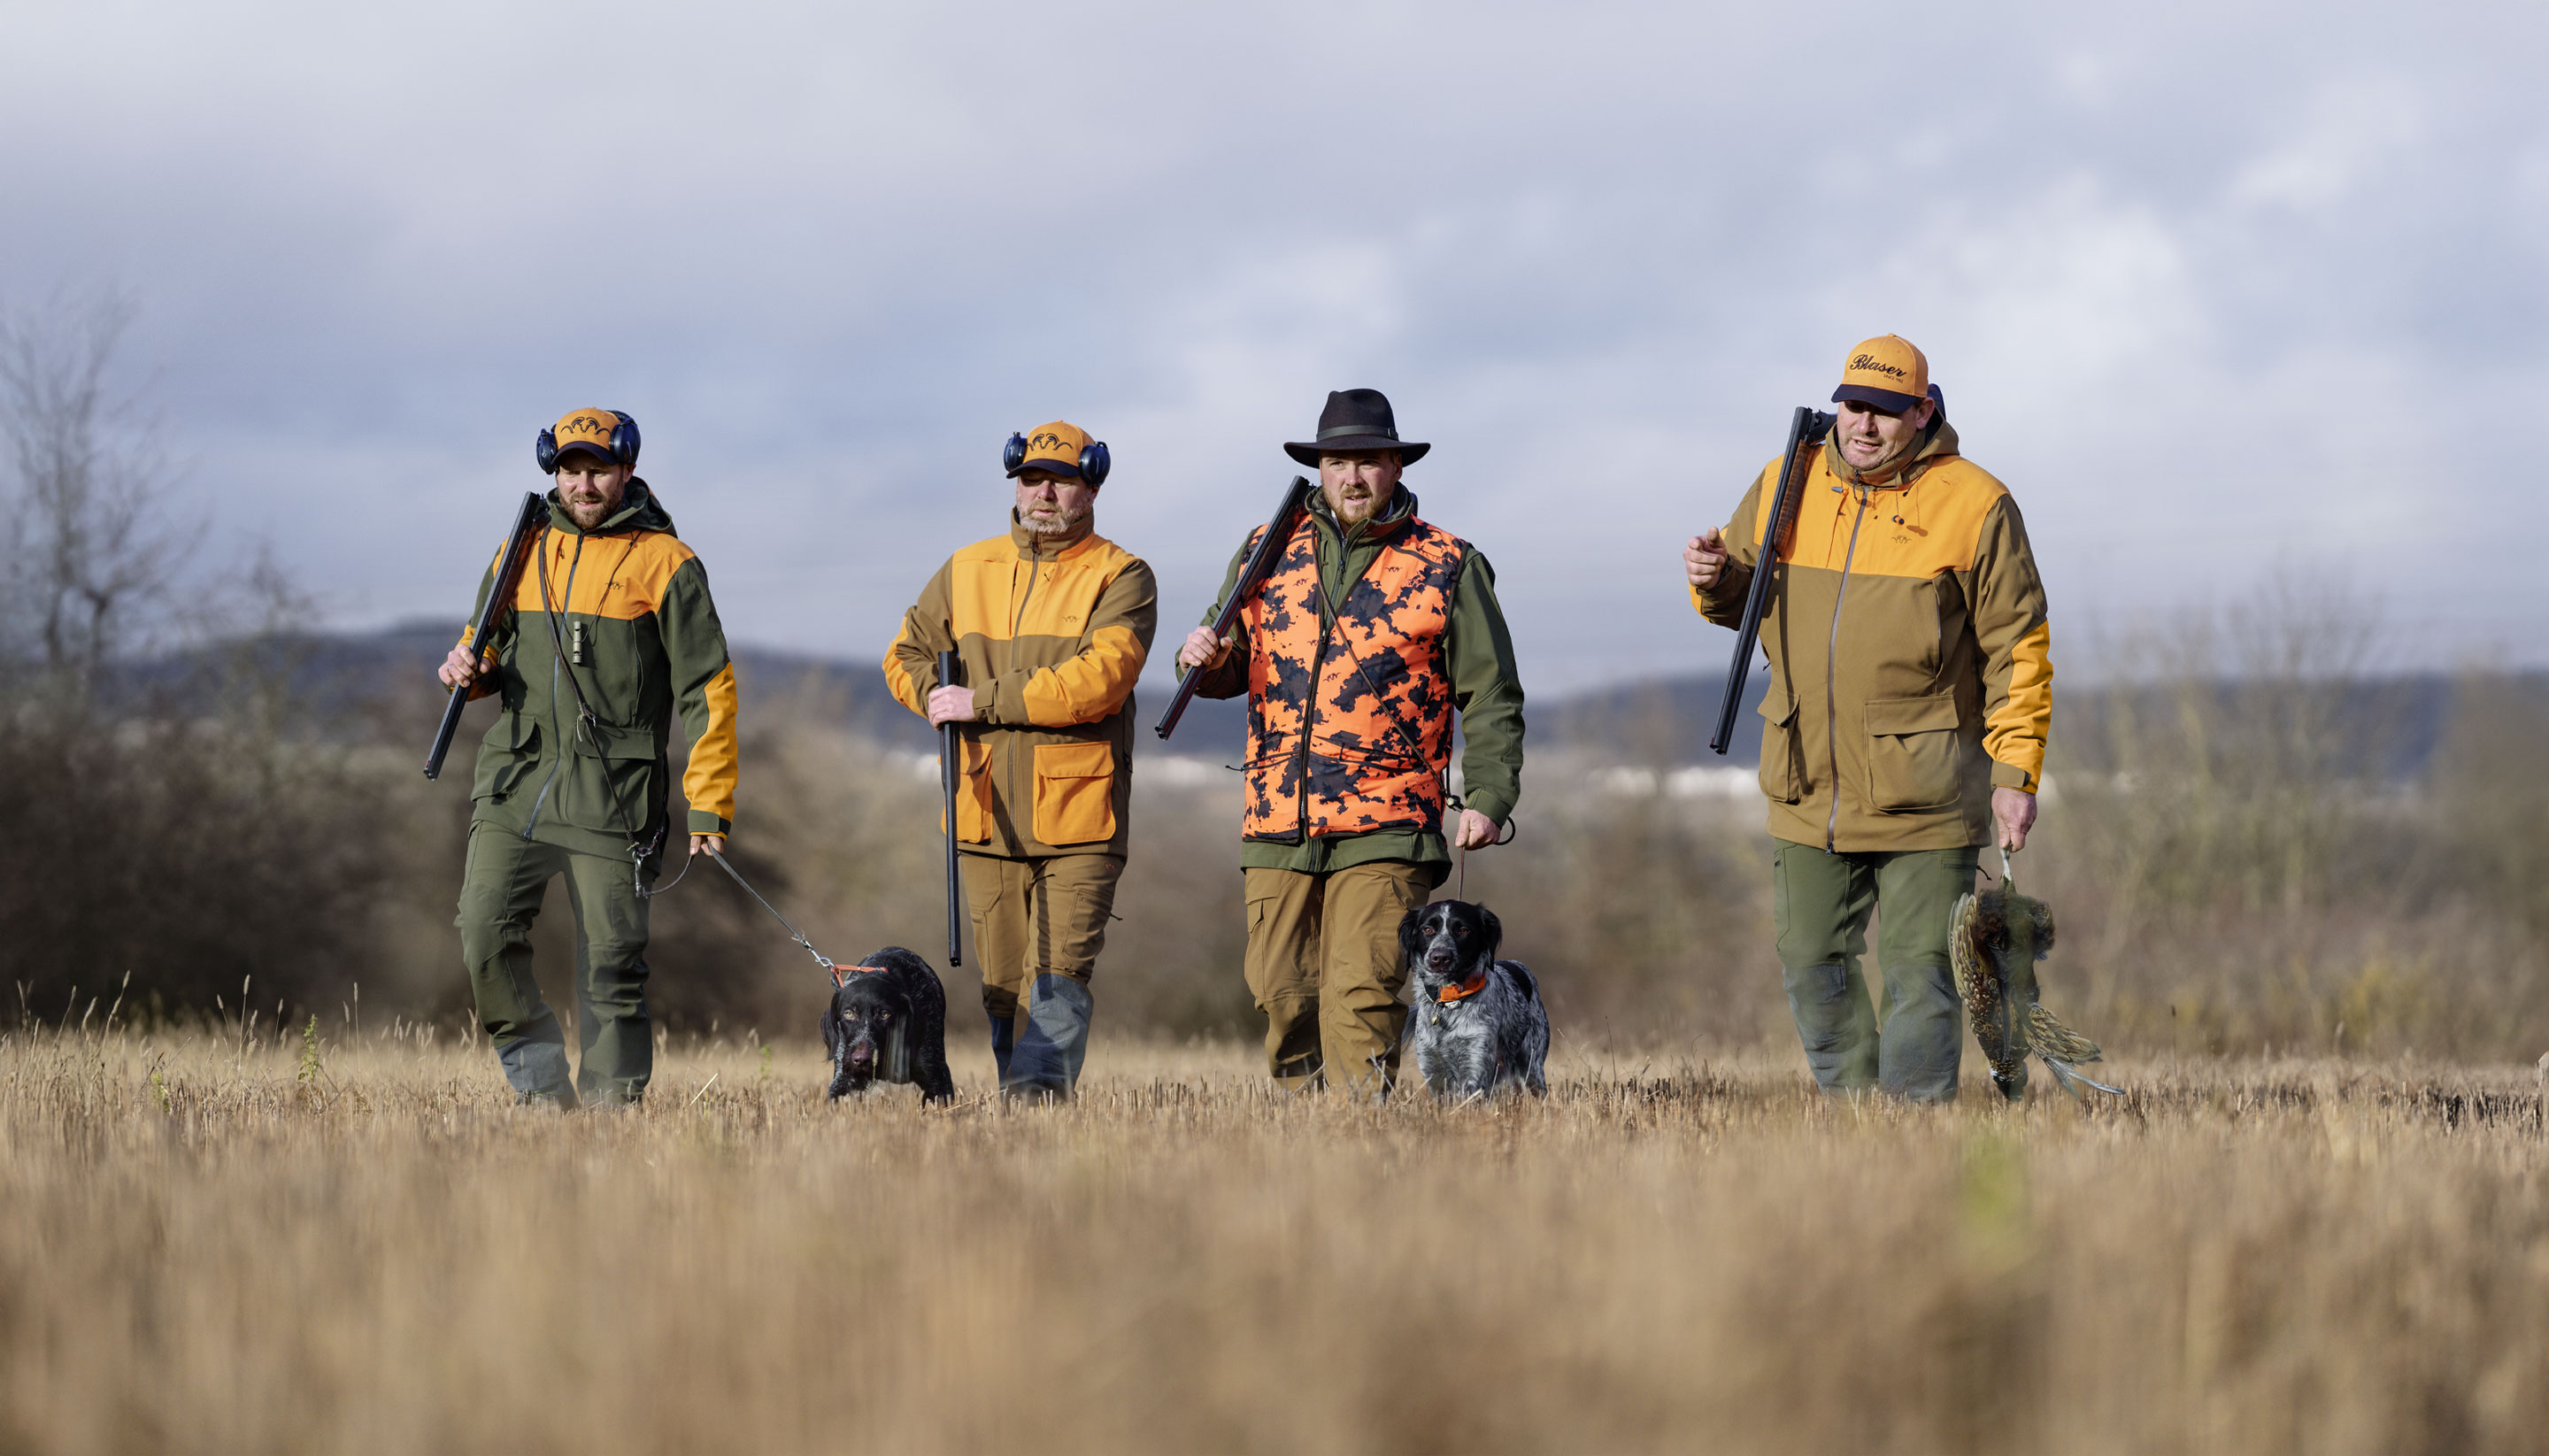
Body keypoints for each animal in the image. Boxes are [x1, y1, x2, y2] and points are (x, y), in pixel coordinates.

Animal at [1397, 892, 1550, 1101]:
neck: (1449, 1001)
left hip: (1532, 1066)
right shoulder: (1433, 1071)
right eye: (1428, 929)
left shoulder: (1474, 1065)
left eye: (1463, 931)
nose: (1440, 957)